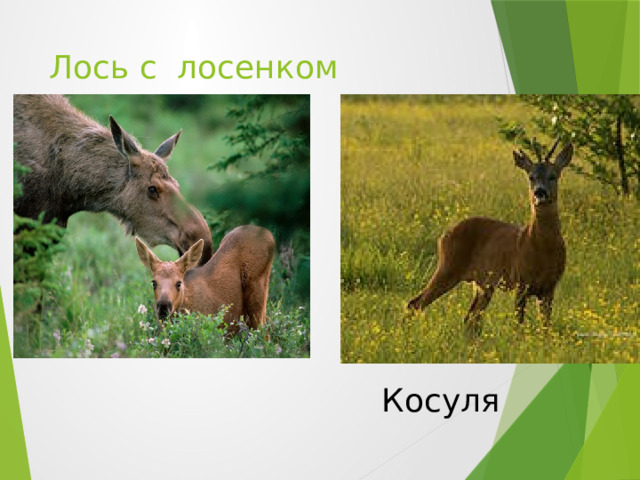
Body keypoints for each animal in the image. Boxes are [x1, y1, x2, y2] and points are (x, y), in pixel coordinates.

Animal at [407, 140, 573, 333]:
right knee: (415, 303)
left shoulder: (549, 287)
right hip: (448, 267)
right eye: (531, 177)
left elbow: (546, 328)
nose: (539, 192)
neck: (543, 249)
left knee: (470, 319)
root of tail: (443, 236)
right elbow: (518, 325)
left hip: (483, 284)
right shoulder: (520, 281)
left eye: (553, 176)